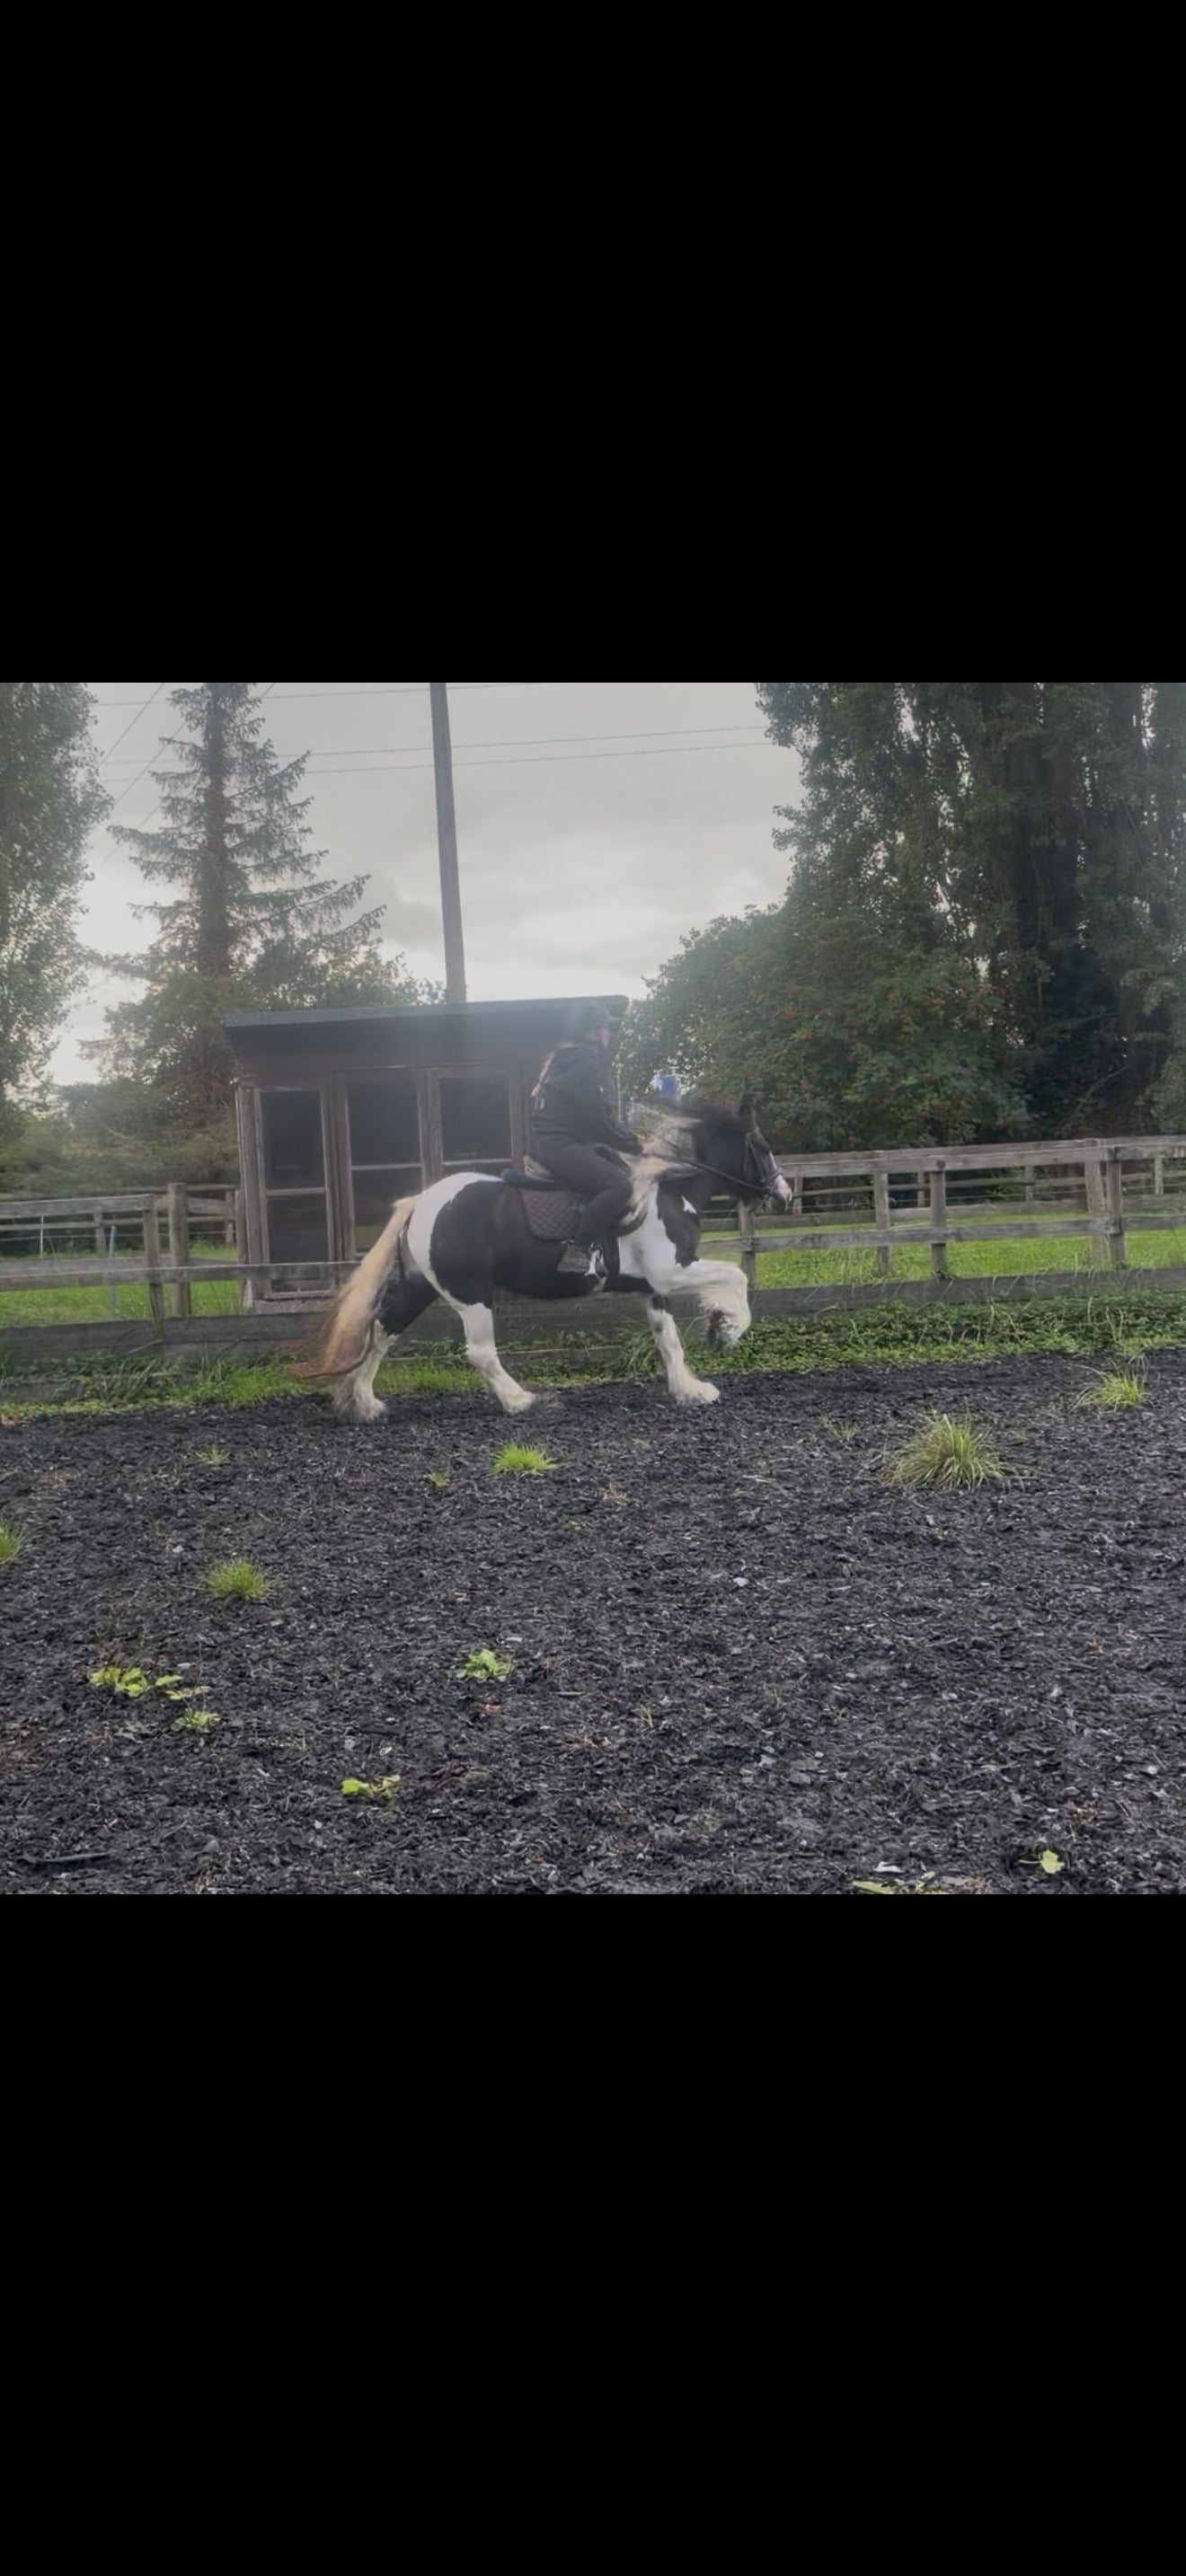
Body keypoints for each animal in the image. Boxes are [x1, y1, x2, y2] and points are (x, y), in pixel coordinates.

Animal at [297, 1097, 791, 1423]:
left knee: (381, 1332)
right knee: (479, 1352)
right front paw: (726, 1330)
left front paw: (691, 1389)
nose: (784, 1195)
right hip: (470, 1293)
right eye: (764, 1147)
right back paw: (522, 1401)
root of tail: (421, 1203)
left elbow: (668, 1341)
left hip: (421, 1288)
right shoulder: (671, 1272)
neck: (668, 1191)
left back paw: (365, 1404)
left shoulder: (652, 1288)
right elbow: (735, 1276)